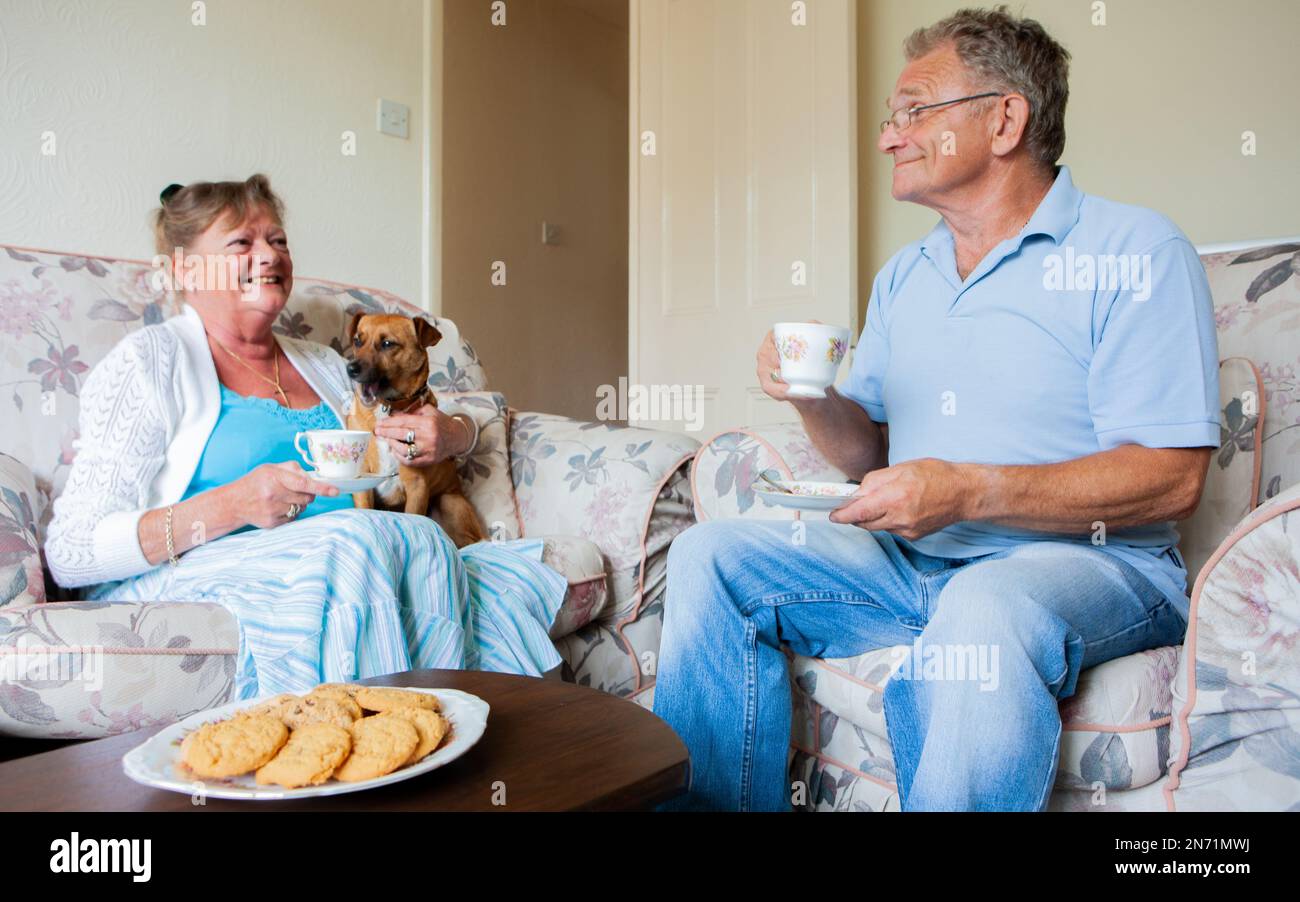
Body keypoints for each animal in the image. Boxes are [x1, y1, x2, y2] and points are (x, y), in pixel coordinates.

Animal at [343, 314, 486, 548]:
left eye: (387, 344)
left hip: (449, 501)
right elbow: (365, 507)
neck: (387, 407)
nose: (351, 369)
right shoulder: (363, 479)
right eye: (357, 341)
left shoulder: (417, 487)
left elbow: (413, 517)